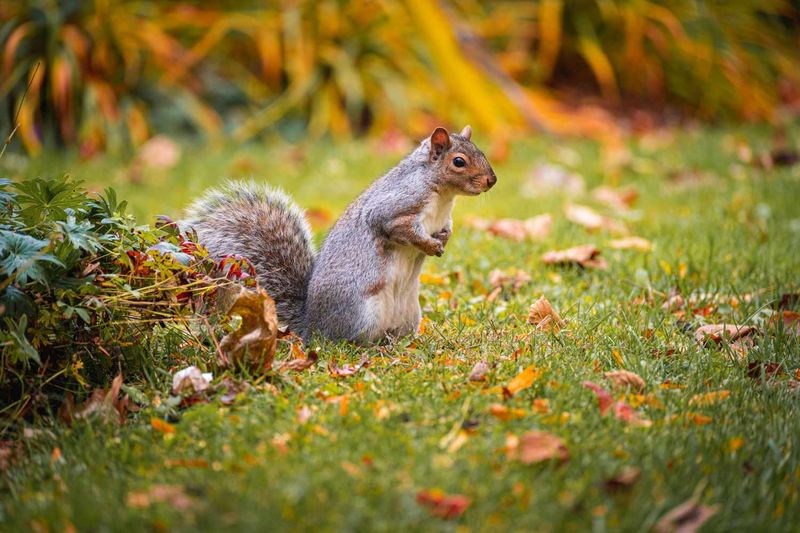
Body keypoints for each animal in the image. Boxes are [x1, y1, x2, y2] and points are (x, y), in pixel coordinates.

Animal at [186, 126, 497, 344]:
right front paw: (430, 246)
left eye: (481, 151)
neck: (442, 197)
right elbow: (401, 230)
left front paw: (442, 240)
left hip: (409, 315)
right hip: (363, 314)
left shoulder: (443, 219)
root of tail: (312, 327)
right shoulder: (393, 209)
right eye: (459, 161)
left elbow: (447, 229)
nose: (492, 180)